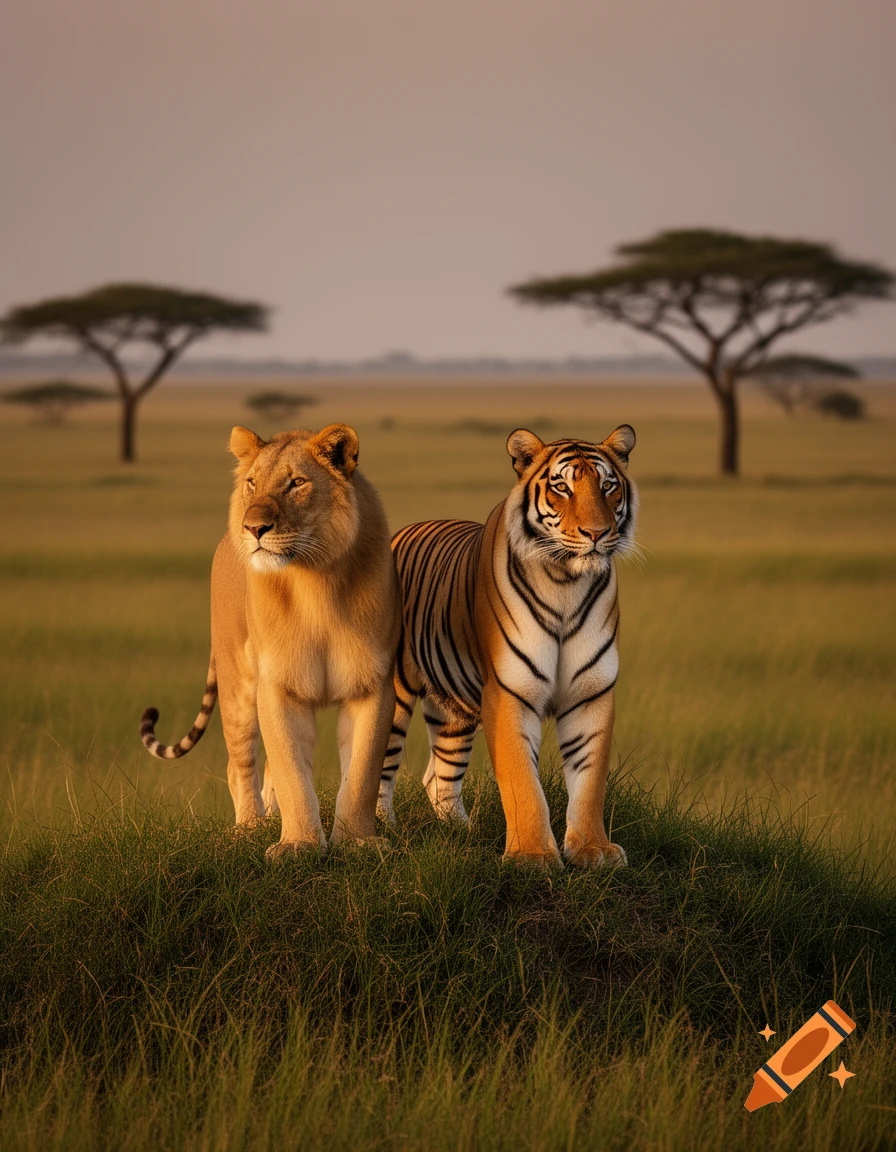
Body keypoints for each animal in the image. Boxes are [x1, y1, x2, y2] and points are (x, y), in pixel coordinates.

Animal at [140, 424, 401, 857]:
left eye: (296, 483)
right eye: (252, 483)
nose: (253, 528)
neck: (316, 582)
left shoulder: (372, 685)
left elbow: (361, 773)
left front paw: (358, 842)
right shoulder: (276, 686)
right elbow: (292, 772)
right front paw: (299, 845)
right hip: (237, 684)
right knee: (240, 763)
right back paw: (249, 827)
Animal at [377, 425, 637, 867]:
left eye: (608, 487)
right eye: (562, 488)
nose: (597, 534)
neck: (567, 583)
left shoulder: (591, 694)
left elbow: (590, 779)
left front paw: (593, 850)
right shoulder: (509, 693)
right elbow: (522, 781)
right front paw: (531, 855)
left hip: (454, 709)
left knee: (439, 777)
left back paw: (461, 832)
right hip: (393, 695)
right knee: (372, 767)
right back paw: (381, 832)